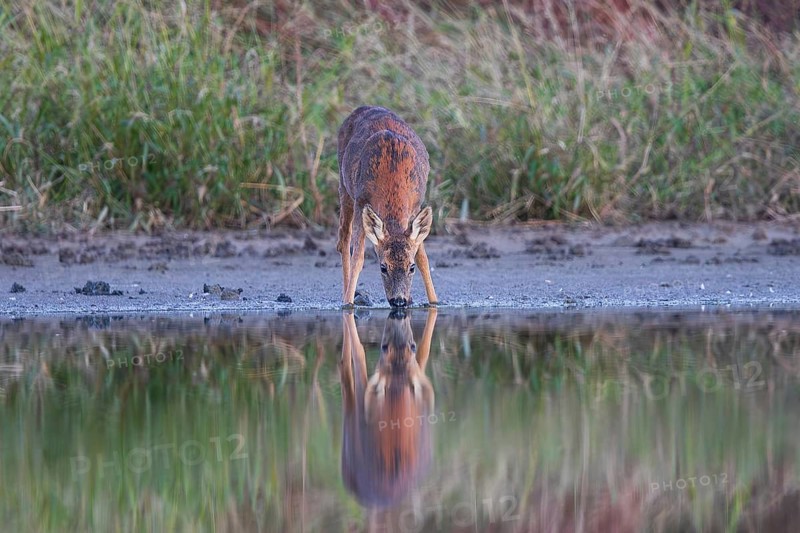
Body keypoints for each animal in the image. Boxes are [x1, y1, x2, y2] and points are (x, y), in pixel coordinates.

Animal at [337, 105, 438, 308]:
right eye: (383, 267)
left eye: (411, 267)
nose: (398, 301)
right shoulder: (361, 201)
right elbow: (358, 258)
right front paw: (347, 303)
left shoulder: (416, 205)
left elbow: (423, 257)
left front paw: (435, 302)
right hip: (344, 187)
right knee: (343, 237)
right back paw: (347, 295)